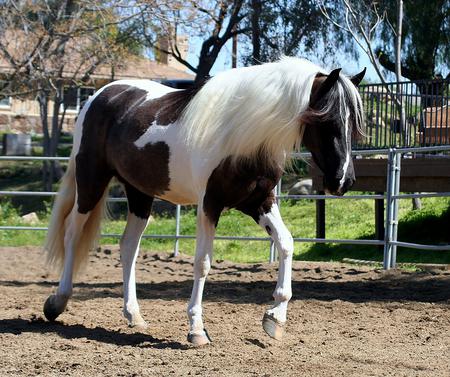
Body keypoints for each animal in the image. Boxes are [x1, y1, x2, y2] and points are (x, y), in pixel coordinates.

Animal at [44, 58, 364, 344]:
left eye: (353, 126)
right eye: (327, 120)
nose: (343, 181)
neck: (242, 135)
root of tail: (101, 94)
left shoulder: (259, 202)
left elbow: (286, 243)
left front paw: (275, 318)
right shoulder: (209, 205)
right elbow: (203, 263)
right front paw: (197, 329)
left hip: (139, 194)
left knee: (128, 247)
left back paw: (133, 314)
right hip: (91, 181)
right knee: (72, 233)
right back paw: (58, 302)